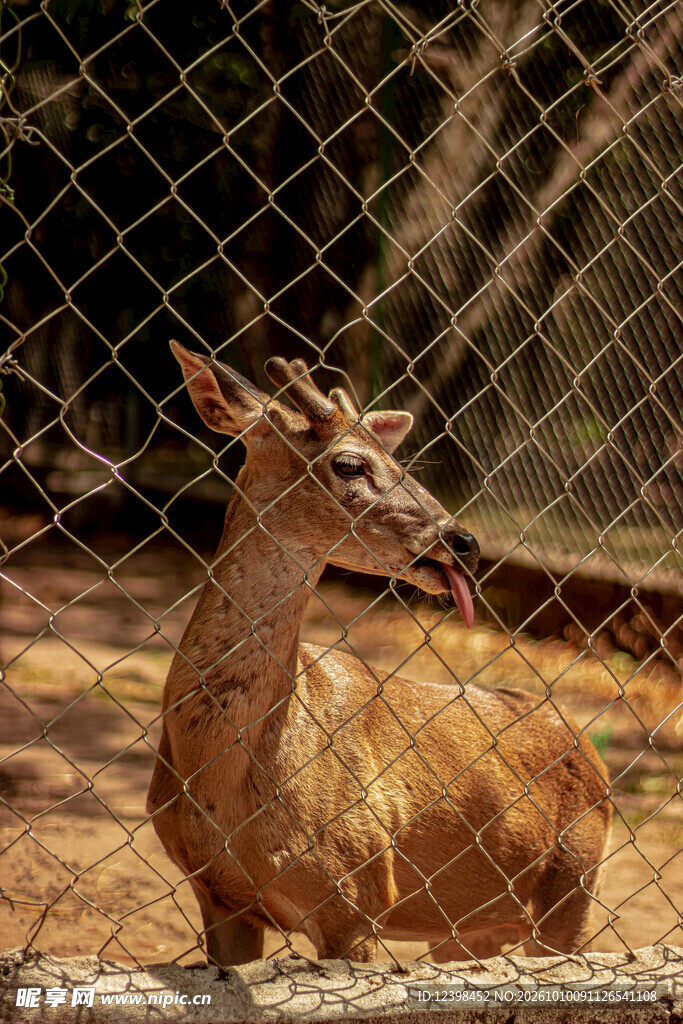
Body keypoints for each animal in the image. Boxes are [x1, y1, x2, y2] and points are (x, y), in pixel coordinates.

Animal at [147, 341, 612, 968]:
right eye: (349, 464)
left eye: (399, 461)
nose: (465, 542)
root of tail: (590, 750)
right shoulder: (218, 895)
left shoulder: (359, 890)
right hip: (468, 928)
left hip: (573, 890)